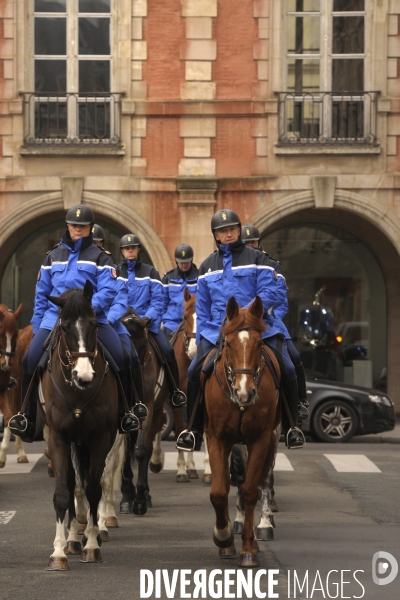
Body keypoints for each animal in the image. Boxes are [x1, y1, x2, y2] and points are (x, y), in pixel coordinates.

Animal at [41, 284, 118, 568]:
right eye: (63, 327)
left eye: (94, 324)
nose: (84, 376)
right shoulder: (57, 438)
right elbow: (64, 493)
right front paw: (58, 552)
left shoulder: (101, 438)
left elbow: (95, 488)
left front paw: (93, 544)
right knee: (75, 484)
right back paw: (73, 538)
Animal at [205, 296, 280, 568]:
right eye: (228, 343)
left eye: (259, 343)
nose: (244, 392)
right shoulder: (217, 438)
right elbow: (220, 490)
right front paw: (223, 536)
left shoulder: (260, 439)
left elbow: (250, 490)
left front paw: (248, 548)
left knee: (262, 480)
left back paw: (263, 526)